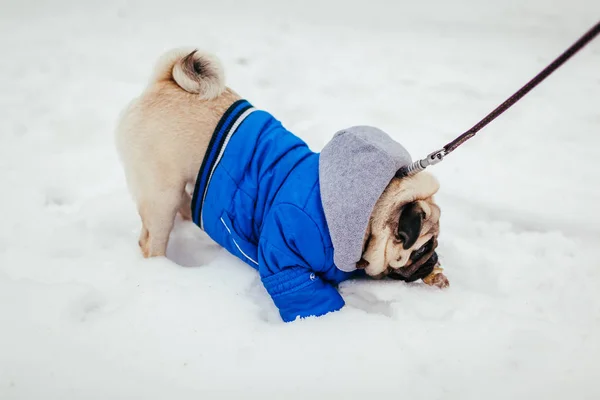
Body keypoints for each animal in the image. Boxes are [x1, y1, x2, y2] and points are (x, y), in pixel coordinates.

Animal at [115, 47, 448, 322]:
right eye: (422, 248)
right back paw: (161, 268)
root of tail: (162, 83)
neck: (367, 214)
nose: (433, 259)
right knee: (151, 239)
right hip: (162, 194)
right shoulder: (286, 255)